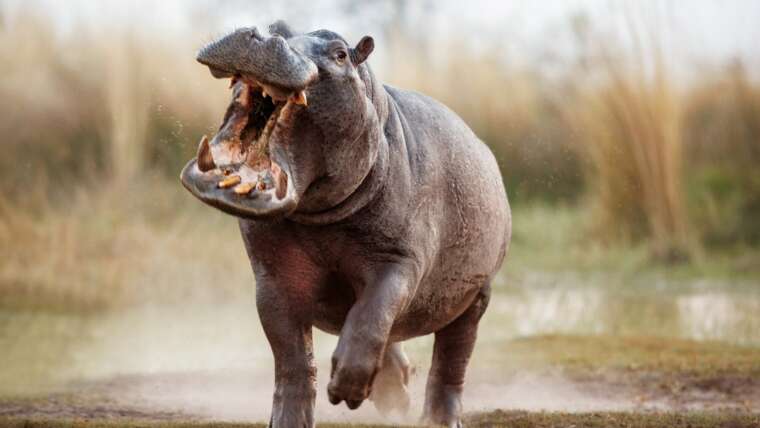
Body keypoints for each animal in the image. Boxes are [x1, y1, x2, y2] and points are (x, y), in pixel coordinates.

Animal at [180, 21, 511, 428]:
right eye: (277, 26)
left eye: (340, 53)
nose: (260, 35)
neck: (319, 215)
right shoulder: (272, 276)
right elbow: (292, 358)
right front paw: (290, 420)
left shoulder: (399, 261)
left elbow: (373, 314)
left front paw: (346, 391)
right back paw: (395, 394)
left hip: (477, 295)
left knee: (452, 359)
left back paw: (437, 418)